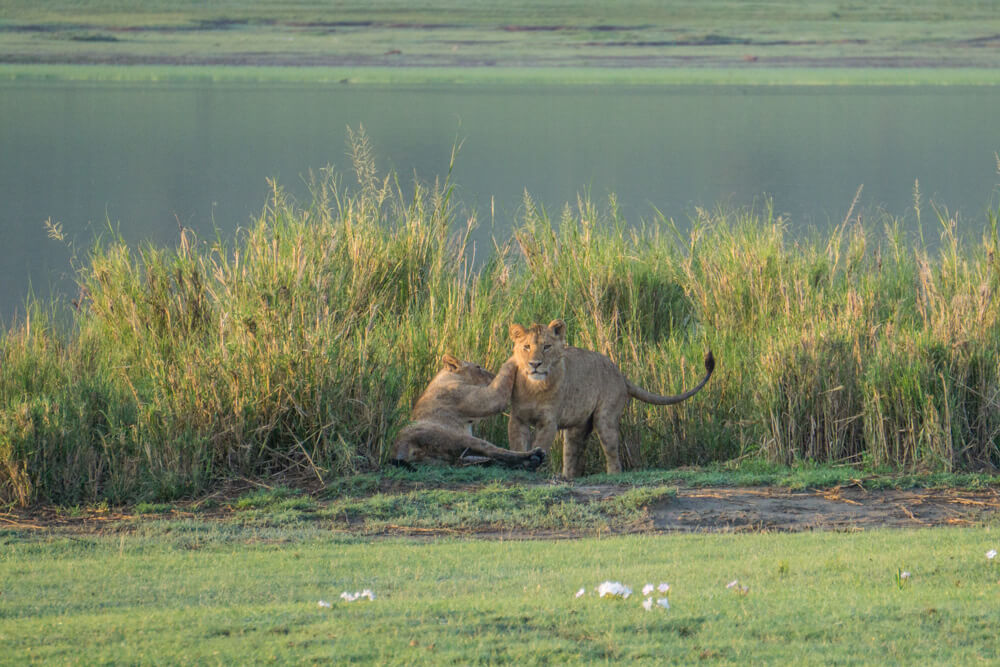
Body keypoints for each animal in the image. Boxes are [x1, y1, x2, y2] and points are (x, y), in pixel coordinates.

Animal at [392, 354, 548, 470]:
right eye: (478, 367)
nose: (492, 376)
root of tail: (399, 445)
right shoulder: (485, 398)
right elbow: (497, 393)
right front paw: (516, 357)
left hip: (443, 457)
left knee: (470, 459)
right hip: (456, 437)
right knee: (495, 451)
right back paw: (534, 456)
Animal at [508, 320, 712, 478]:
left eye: (547, 347)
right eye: (526, 347)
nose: (535, 364)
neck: (534, 388)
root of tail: (619, 372)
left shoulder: (549, 421)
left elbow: (540, 444)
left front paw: (533, 464)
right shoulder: (517, 419)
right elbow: (518, 445)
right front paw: (522, 464)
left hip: (605, 417)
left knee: (612, 451)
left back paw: (613, 475)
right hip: (579, 424)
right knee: (572, 451)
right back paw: (567, 477)